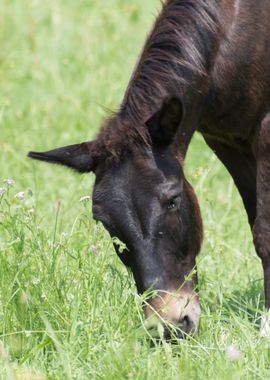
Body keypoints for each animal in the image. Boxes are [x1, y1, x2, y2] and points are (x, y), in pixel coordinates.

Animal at [27, 0, 270, 338]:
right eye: (102, 221)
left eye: (173, 200)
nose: (169, 326)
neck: (234, 31)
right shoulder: (226, 140)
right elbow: (255, 221)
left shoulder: (265, 130)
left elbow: (264, 231)